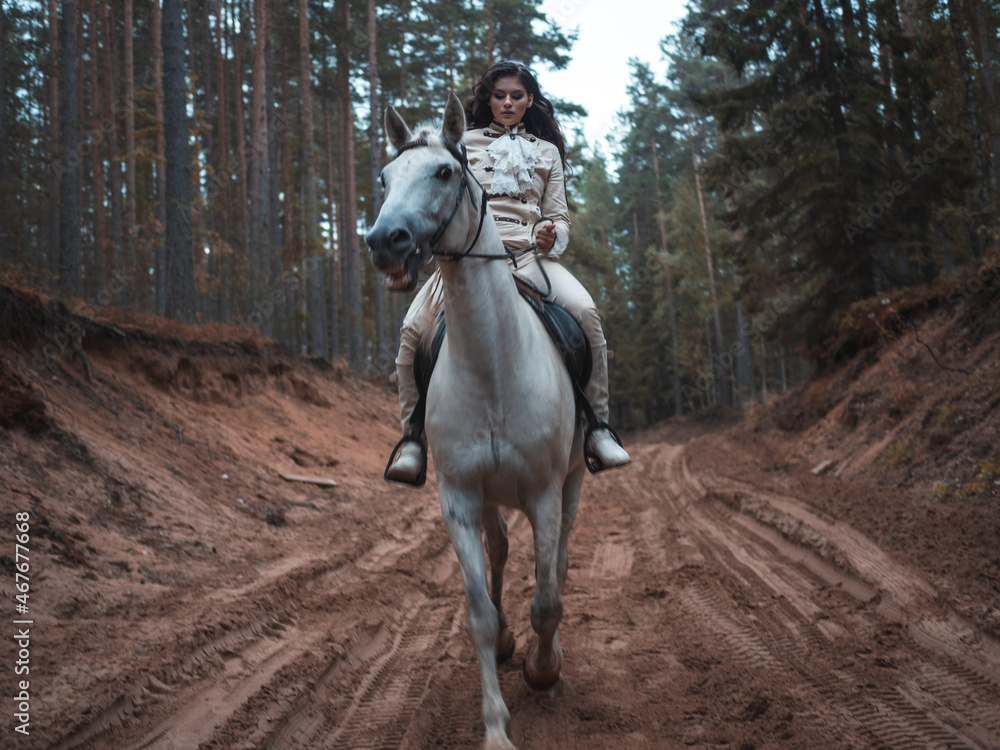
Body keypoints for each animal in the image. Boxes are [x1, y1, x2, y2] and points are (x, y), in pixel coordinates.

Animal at [368, 95, 584, 750]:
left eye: (444, 172)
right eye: (384, 178)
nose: (385, 240)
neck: (493, 363)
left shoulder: (543, 493)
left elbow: (547, 599)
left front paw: (544, 671)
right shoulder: (460, 498)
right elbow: (480, 614)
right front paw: (495, 727)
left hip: (572, 483)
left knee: (558, 561)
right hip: (490, 497)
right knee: (500, 553)